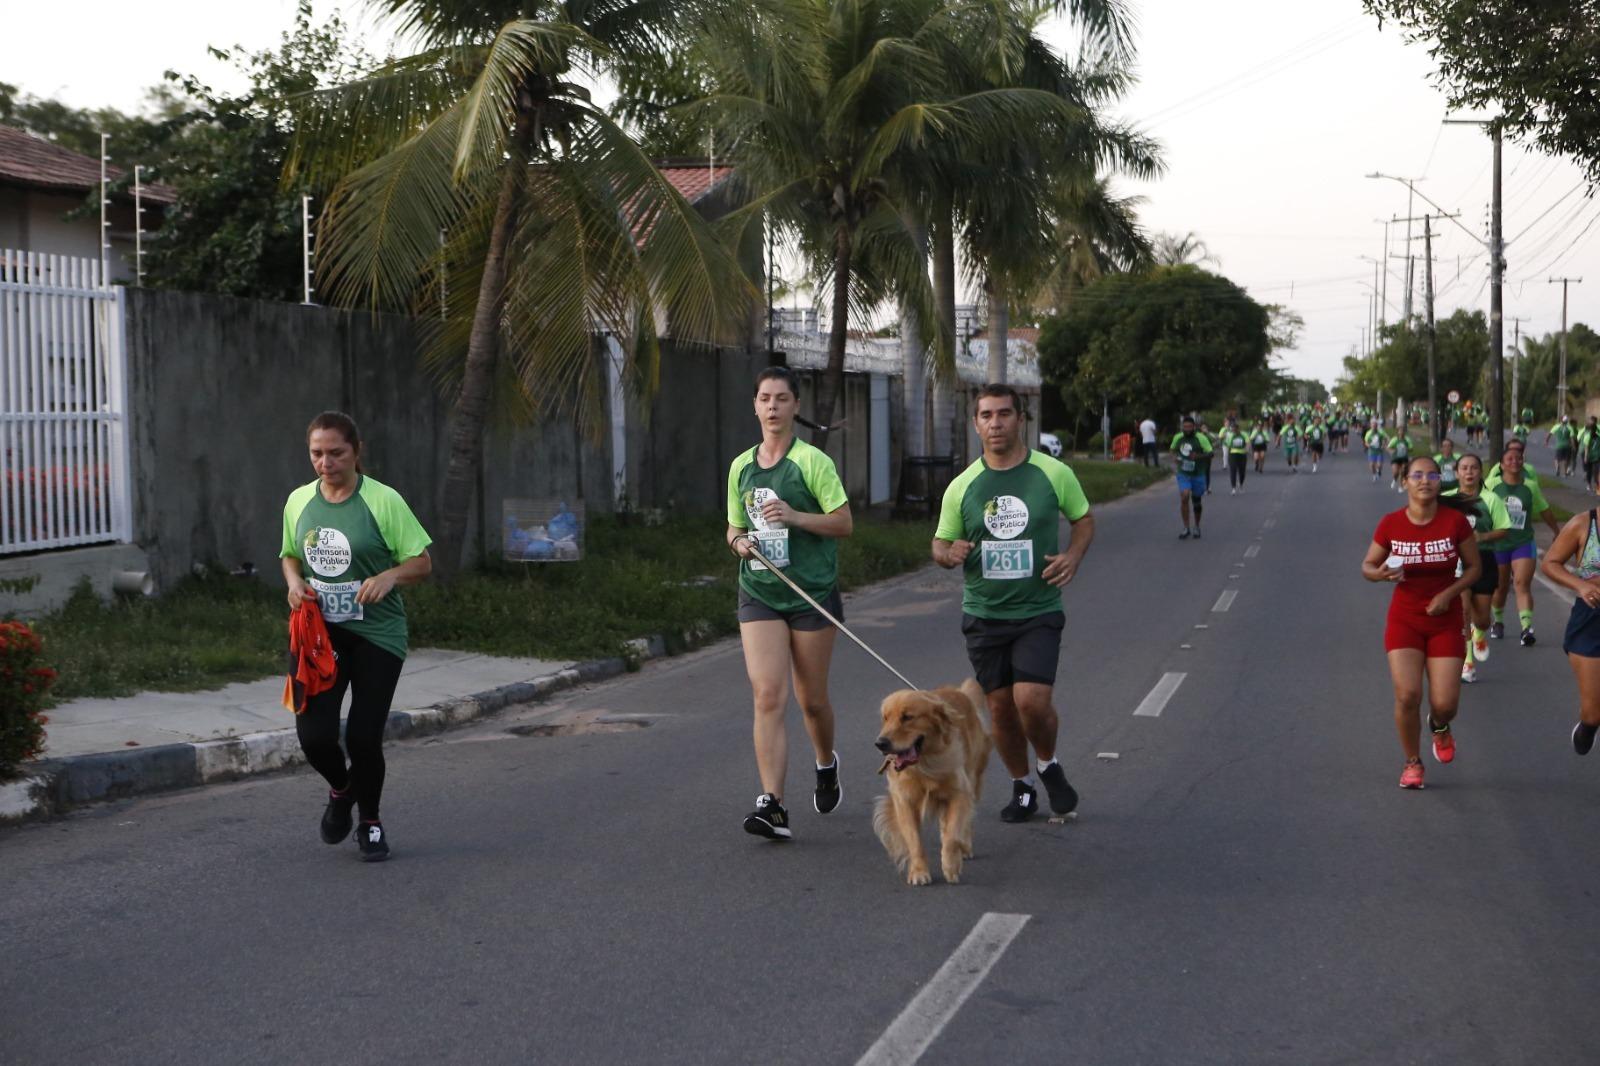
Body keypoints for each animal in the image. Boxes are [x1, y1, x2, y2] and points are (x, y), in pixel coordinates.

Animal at [876, 681, 985, 877]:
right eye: (885, 718)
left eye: (907, 717)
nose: (880, 743)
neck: (924, 766)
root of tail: (959, 691)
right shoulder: (904, 800)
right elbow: (914, 841)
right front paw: (919, 872)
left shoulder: (959, 792)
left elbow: (953, 834)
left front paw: (951, 865)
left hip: (972, 774)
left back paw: (964, 847)